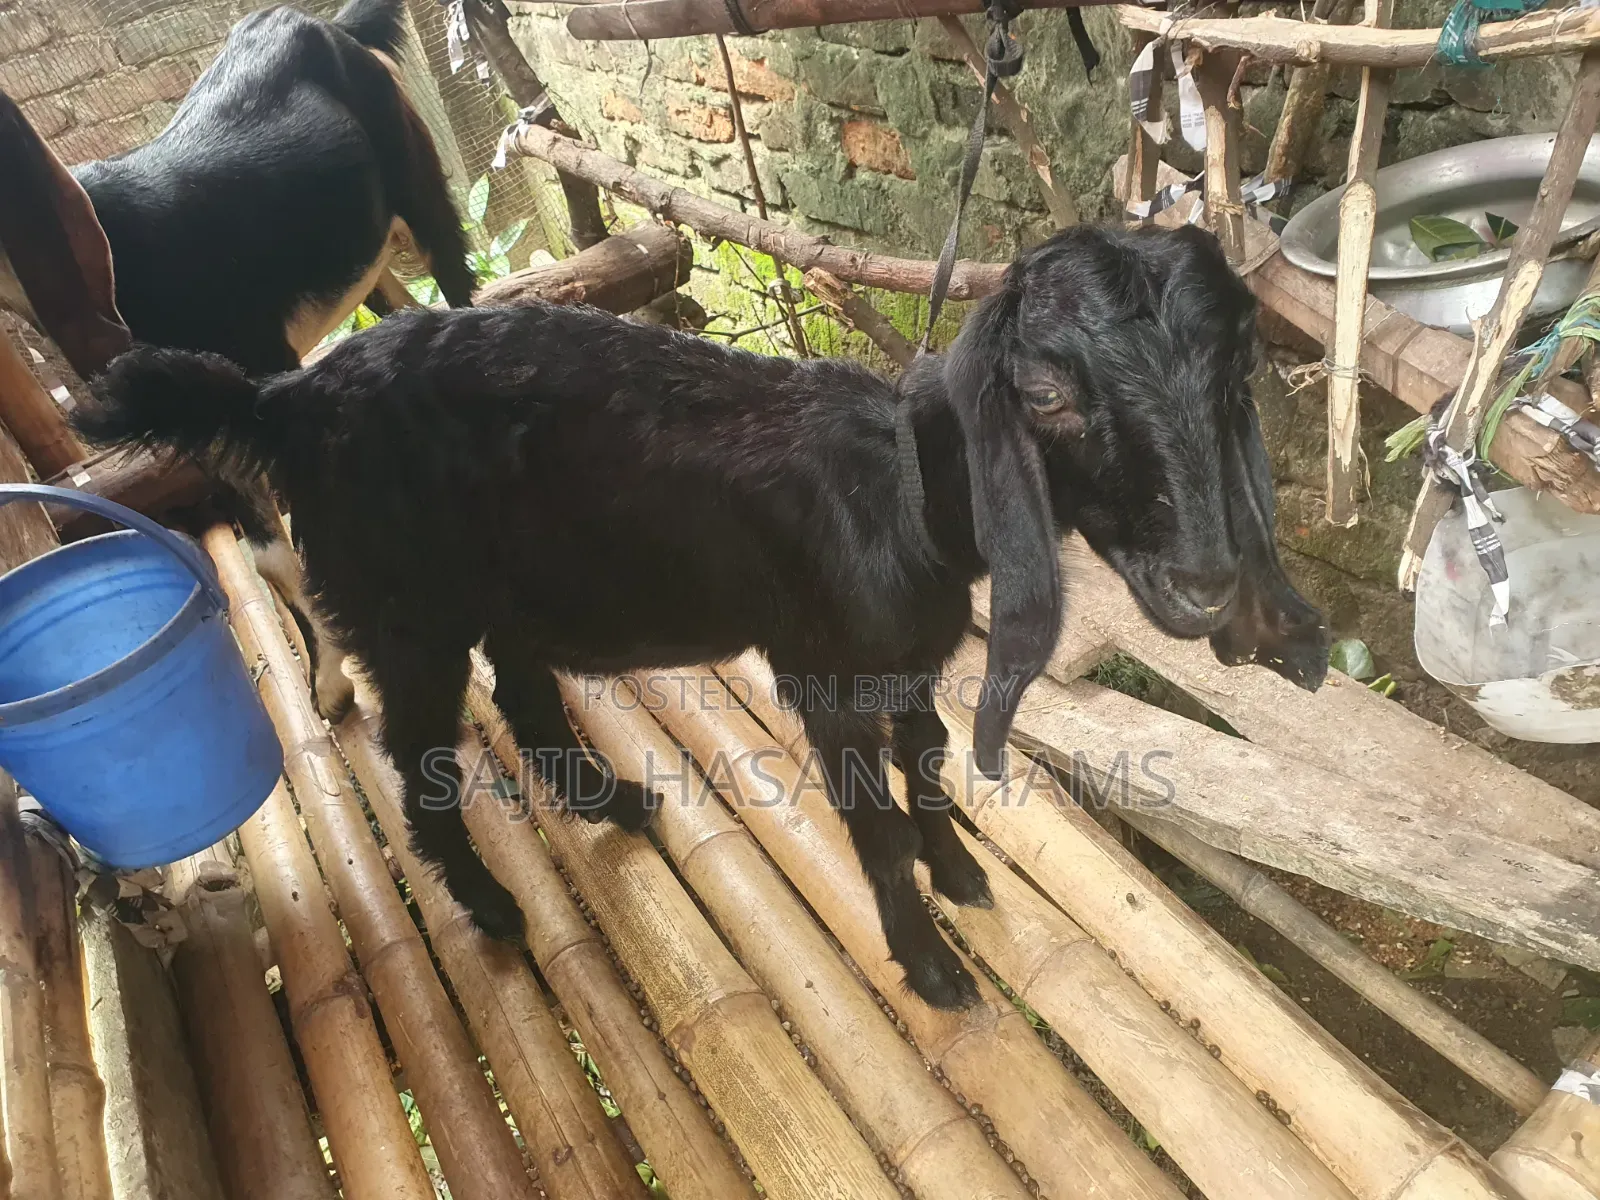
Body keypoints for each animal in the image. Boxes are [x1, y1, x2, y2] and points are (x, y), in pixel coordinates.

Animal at [78, 223, 1330, 1011]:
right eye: (1047, 396)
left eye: (1232, 379)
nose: (1208, 580)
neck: (907, 491)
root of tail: (284, 400)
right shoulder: (821, 670)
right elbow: (875, 824)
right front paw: (930, 968)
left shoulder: (908, 660)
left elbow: (926, 766)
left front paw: (960, 876)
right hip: (403, 611)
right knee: (420, 763)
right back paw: (492, 910)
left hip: (508, 578)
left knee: (523, 688)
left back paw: (612, 804)